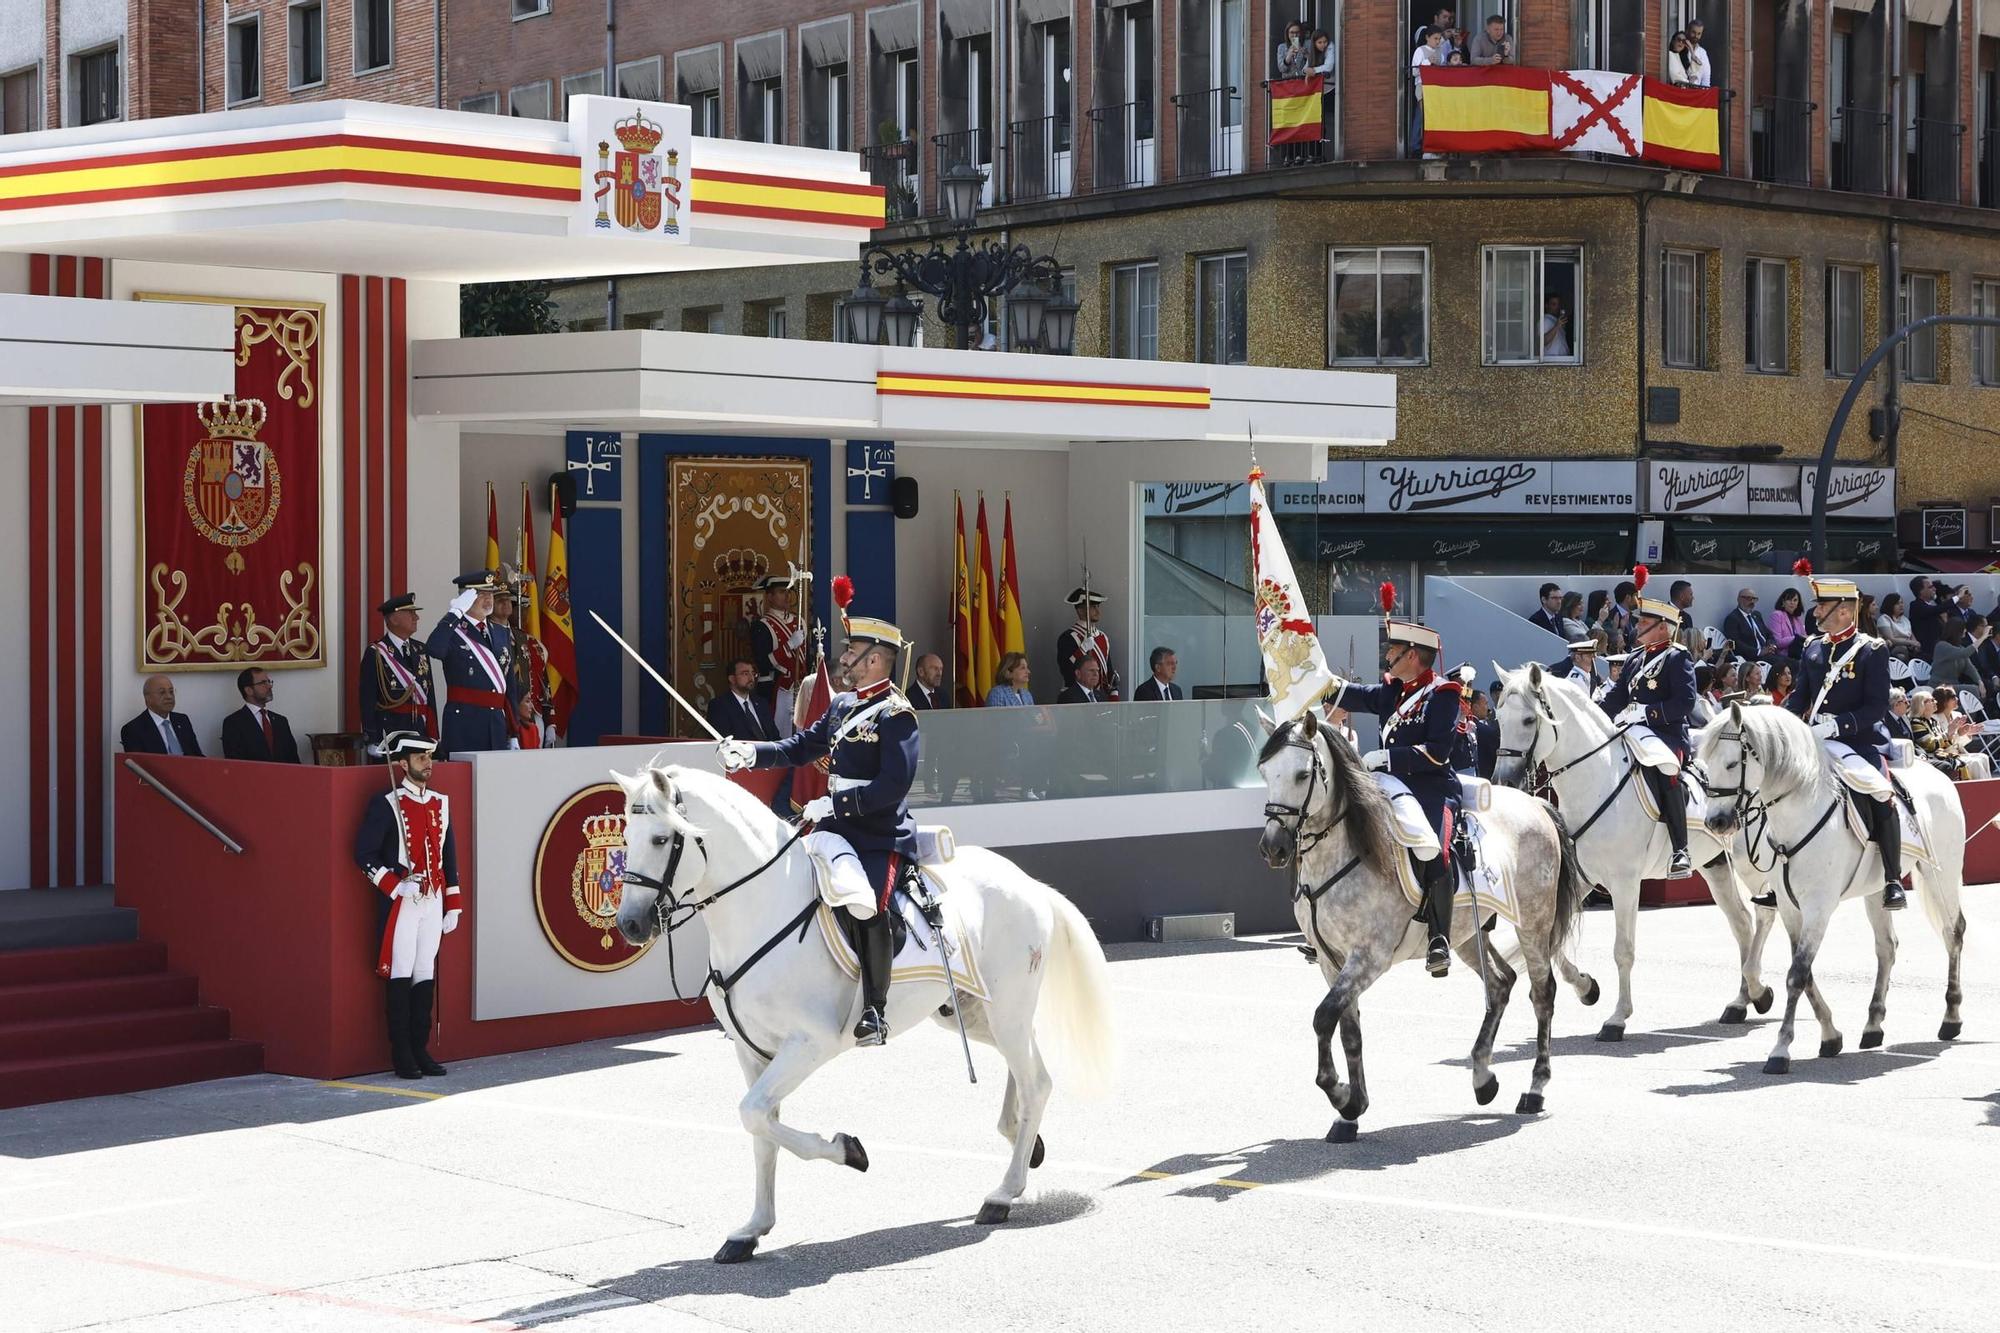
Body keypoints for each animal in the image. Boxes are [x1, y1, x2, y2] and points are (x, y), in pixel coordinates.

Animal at [608, 756, 1120, 1256]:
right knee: (1030, 1068)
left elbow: (753, 1114)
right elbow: (761, 1130)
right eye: (627, 838)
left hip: (1006, 1008)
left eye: (660, 838)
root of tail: (1028, 881)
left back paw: (1003, 1193)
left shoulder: (810, 1044)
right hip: (977, 1014)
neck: (762, 907)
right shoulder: (750, 1049)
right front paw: (751, 1230)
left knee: (1035, 1082)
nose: (630, 925)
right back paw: (1023, 1142)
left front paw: (848, 1149)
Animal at [1256, 704, 1584, 1128]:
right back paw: (1483, 1078)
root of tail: (1537, 804)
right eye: (1265, 772)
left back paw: (1535, 1088)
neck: (1349, 851)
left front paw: (1340, 1095)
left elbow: (1324, 1017)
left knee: (1542, 993)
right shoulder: (1332, 961)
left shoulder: (1369, 958)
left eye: (1301, 774)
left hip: (1533, 922)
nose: (1273, 848)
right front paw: (1353, 1108)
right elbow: (1348, 1028)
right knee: (1500, 983)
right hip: (1466, 933)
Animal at [1488, 664, 1784, 1040]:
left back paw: (1759, 990)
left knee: (1764, 915)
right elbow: (1553, 939)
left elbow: (1623, 950)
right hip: (1715, 864)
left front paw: (1617, 1018)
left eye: (1528, 720)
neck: (1597, 779)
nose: (1504, 782)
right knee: (1742, 923)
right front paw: (1586, 987)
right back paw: (1741, 1002)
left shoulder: (1625, 882)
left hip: (1752, 865)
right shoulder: (1581, 880)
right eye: (1498, 718)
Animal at [1704, 696, 1968, 1072]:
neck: (1796, 817)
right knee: (1887, 947)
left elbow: (1797, 974)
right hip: (1876, 890)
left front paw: (1780, 1050)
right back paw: (1873, 1026)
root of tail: (1937, 774)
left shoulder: (1819, 906)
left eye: (1730, 763)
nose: (1716, 822)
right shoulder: (1791, 907)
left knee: (1953, 932)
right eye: (1704, 764)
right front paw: (1829, 1034)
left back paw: (1951, 1018)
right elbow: (1804, 971)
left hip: (1941, 874)